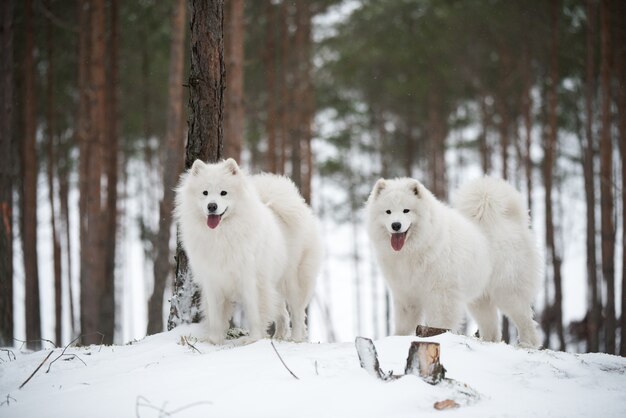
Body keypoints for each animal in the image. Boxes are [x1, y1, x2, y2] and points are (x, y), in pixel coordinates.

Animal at [176, 158, 322, 344]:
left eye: (223, 193)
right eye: (205, 192)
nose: (212, 206)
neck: (222, 234)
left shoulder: (250, 279)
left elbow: (254, 313)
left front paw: (253, 339)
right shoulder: (213, 280)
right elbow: (216, 316)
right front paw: (214, 340)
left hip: (293, 281)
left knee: (297, 314)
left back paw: (295, 339)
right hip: (274, 283)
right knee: (283, 313)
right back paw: (279, 336)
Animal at [364, 175, 540, 348]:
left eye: (406, 210)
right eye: (388, 212)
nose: (396, 225)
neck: (416, 248)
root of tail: (512, 221)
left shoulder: (441, 294)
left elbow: (439, 321)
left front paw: (437, 337)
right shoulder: (406, 294)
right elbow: (403, 325)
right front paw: (397, 339)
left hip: (508, 292)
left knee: (525, 320)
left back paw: (528, 345)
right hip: (480, 299)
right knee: (492, 328)